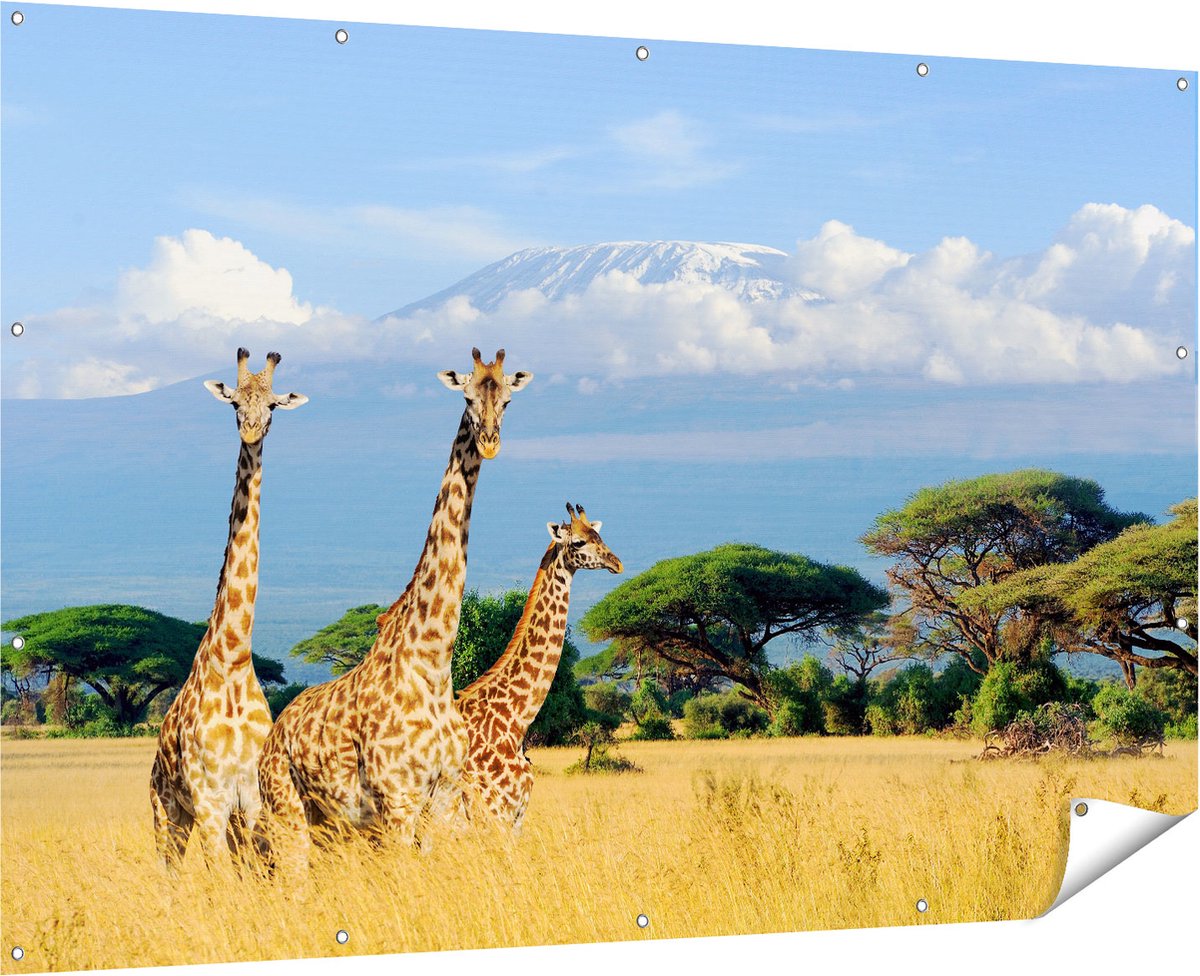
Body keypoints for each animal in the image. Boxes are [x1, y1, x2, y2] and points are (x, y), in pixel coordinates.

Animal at [149, 348, 308, 871]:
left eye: (274, 405)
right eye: (235, 402)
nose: (252, 430)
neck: (234, 657)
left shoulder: (251, 799)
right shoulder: (210, 800)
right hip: (166, 812)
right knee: (169, 872)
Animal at [258, 348, 532, 865]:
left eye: (508, 399)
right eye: (467, 397)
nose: (489, 443)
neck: (432, 663)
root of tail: (273, 734)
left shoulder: (443, 798)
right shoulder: (398, 800)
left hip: (333, 825)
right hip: (287, 811)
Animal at [456, 503, 622, 832]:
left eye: (599, 535)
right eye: (579, 542)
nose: (617, 563)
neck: (515, 720)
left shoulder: (515, 818)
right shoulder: (496, 814)